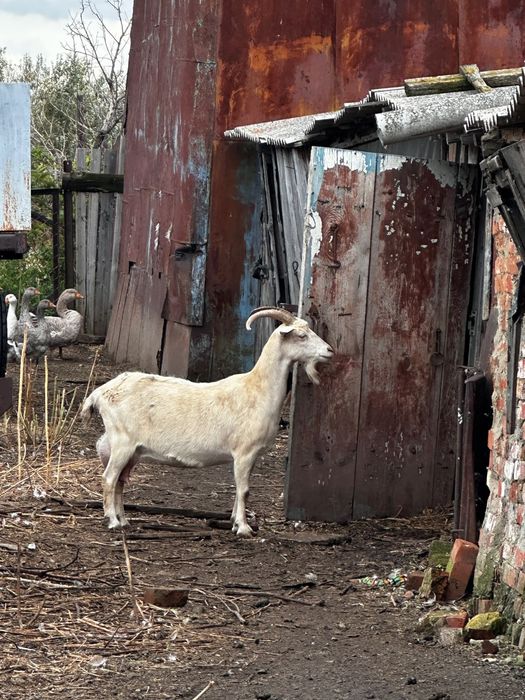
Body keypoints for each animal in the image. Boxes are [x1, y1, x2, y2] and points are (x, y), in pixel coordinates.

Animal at [81, 307, 334, 536]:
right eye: (301, 335)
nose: (330, 351)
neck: (256, 390)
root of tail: (100, 393)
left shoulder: (249, 456)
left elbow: (240, 489)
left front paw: (234, 522)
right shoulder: (244, 452)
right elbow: (244, 490)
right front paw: (244, 528)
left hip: (132, 450)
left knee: (120, 482)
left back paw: (124, 520)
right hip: (122, 442)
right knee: (109, 479)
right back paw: (112, 521)